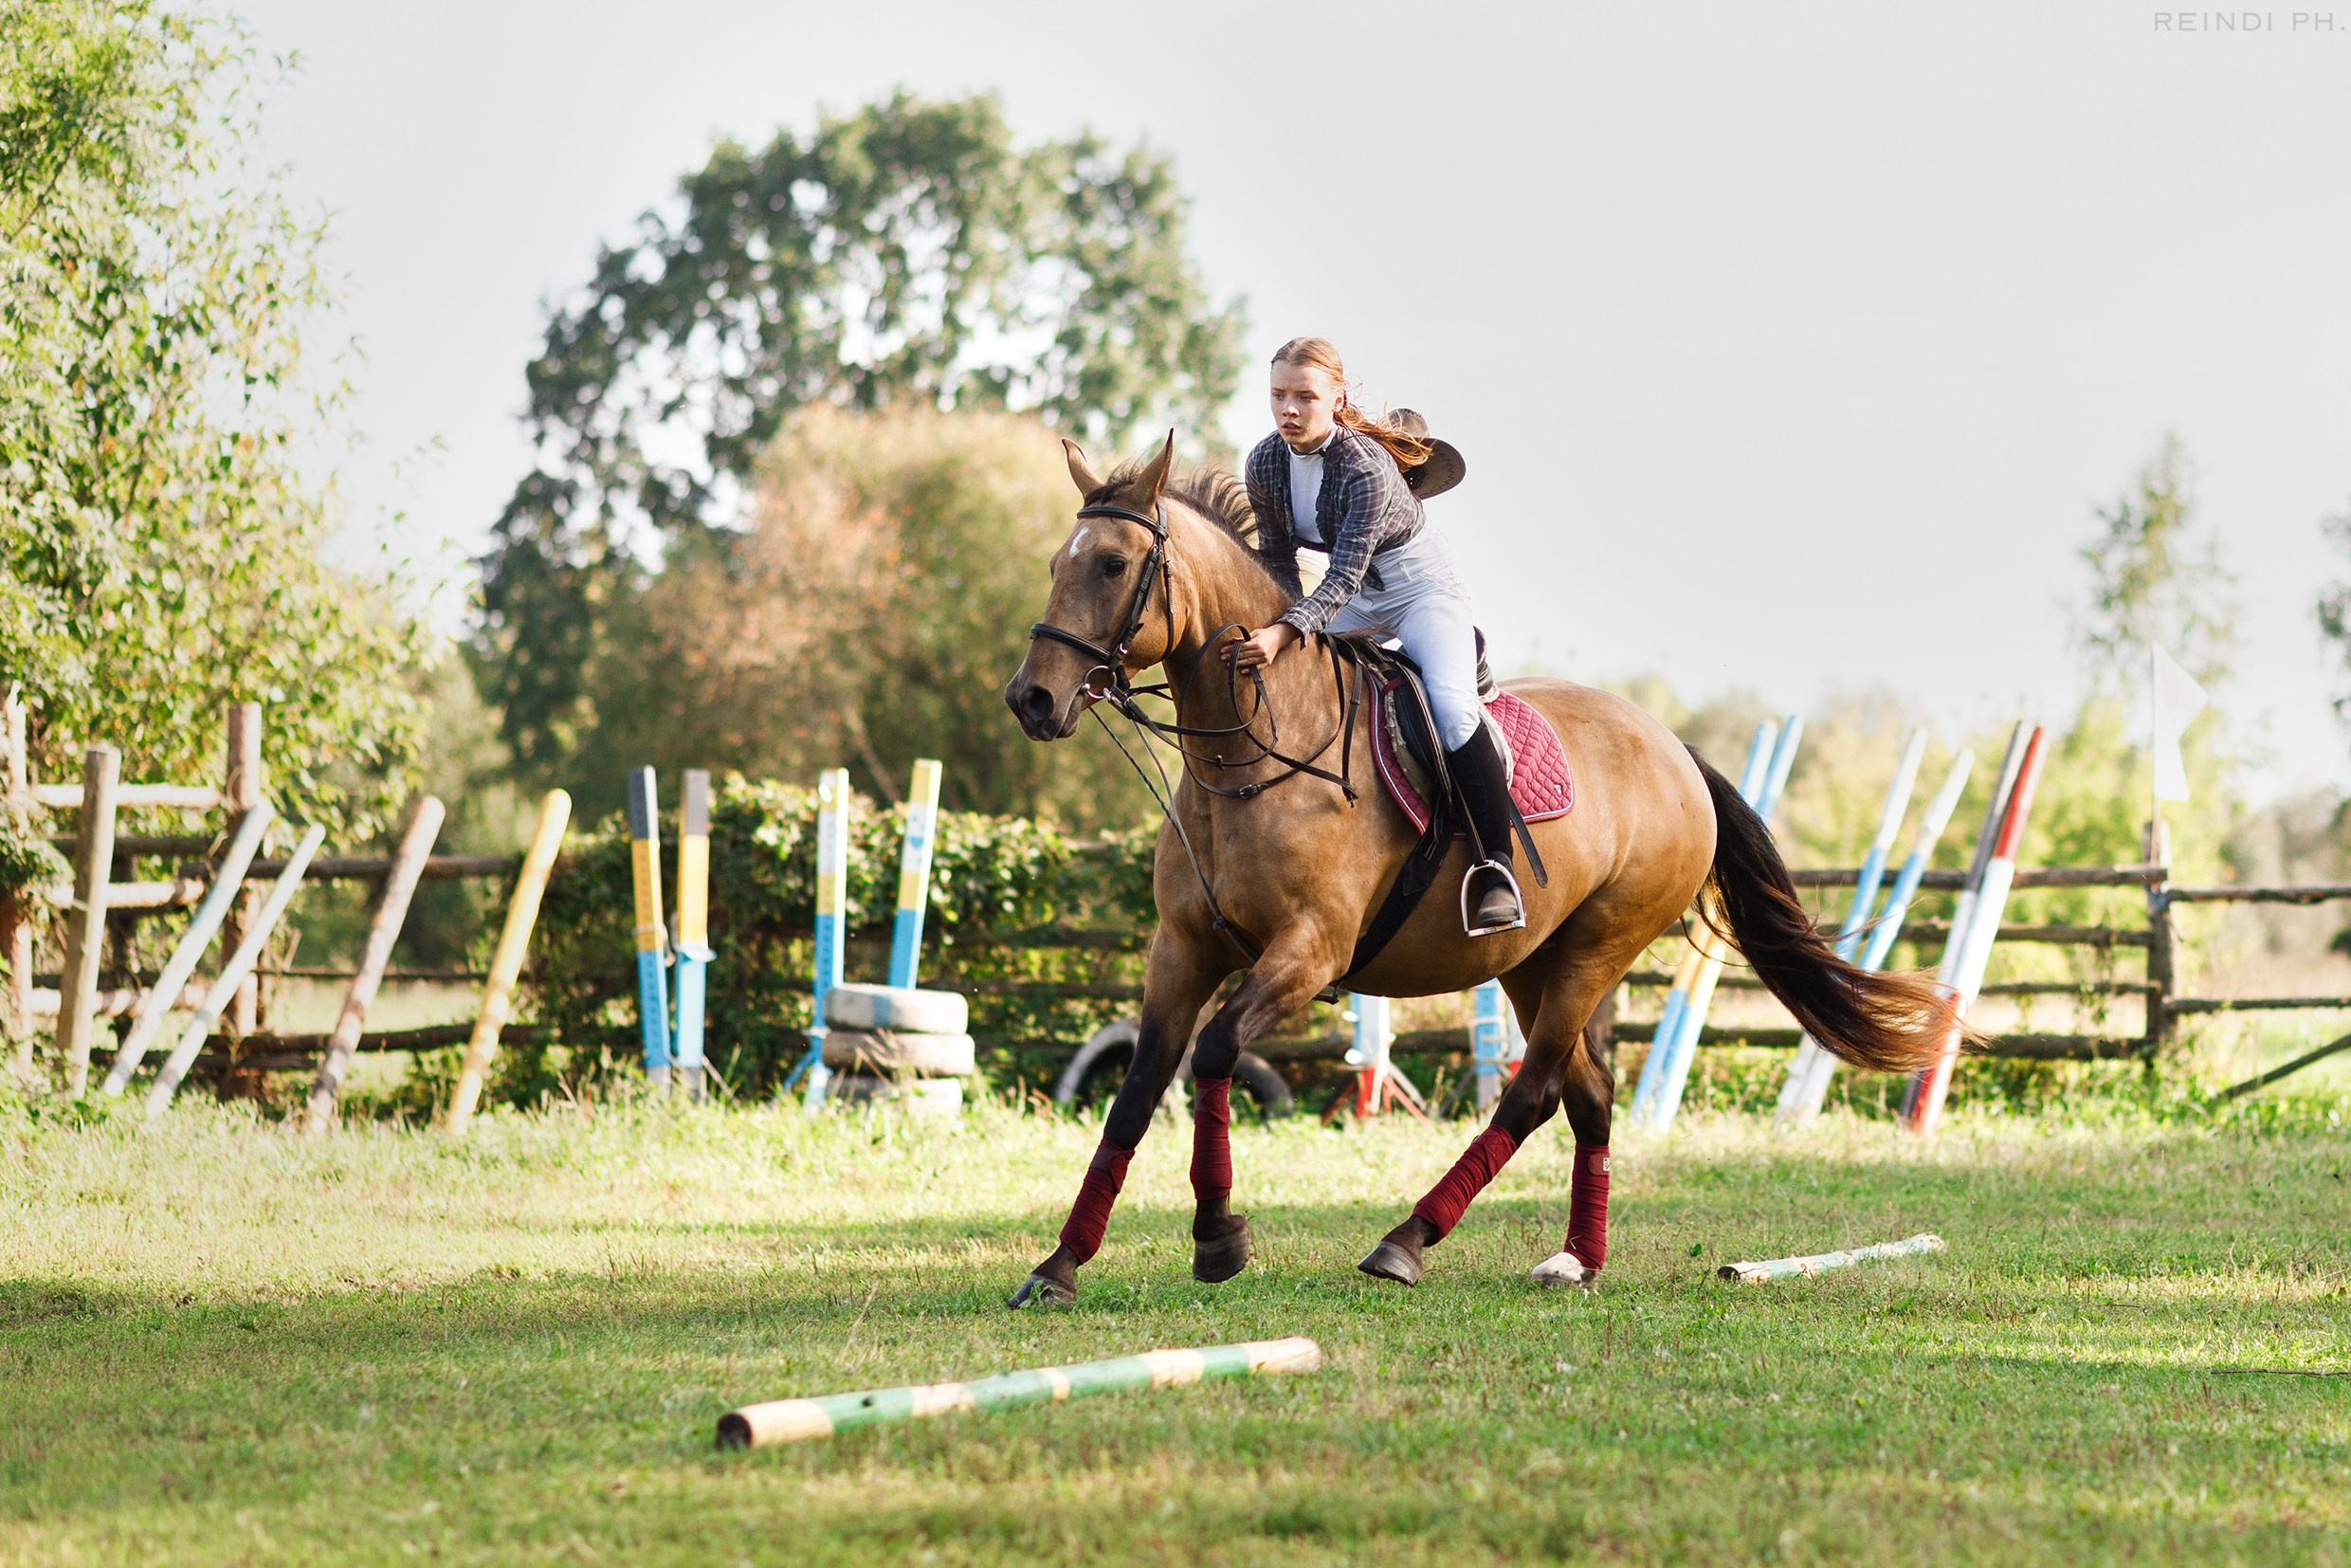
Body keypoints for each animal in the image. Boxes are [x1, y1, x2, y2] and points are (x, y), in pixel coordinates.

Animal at [1001, 433, 1957, 1307]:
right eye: (1053, 564)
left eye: (1114, 564)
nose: (1032, 700)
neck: (1247, 756)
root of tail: (1673, 750)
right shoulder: (1183, 950)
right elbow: (1137, 1090)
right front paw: (1060, 1264)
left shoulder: (1310, 951)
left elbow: (1215, 1051)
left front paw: (1216, 1236)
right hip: (1537, 960)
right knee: (1590, 1095)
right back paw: (1575, 1260)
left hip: (1597, 949)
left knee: (1532, 1093)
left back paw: (1407, 1241)